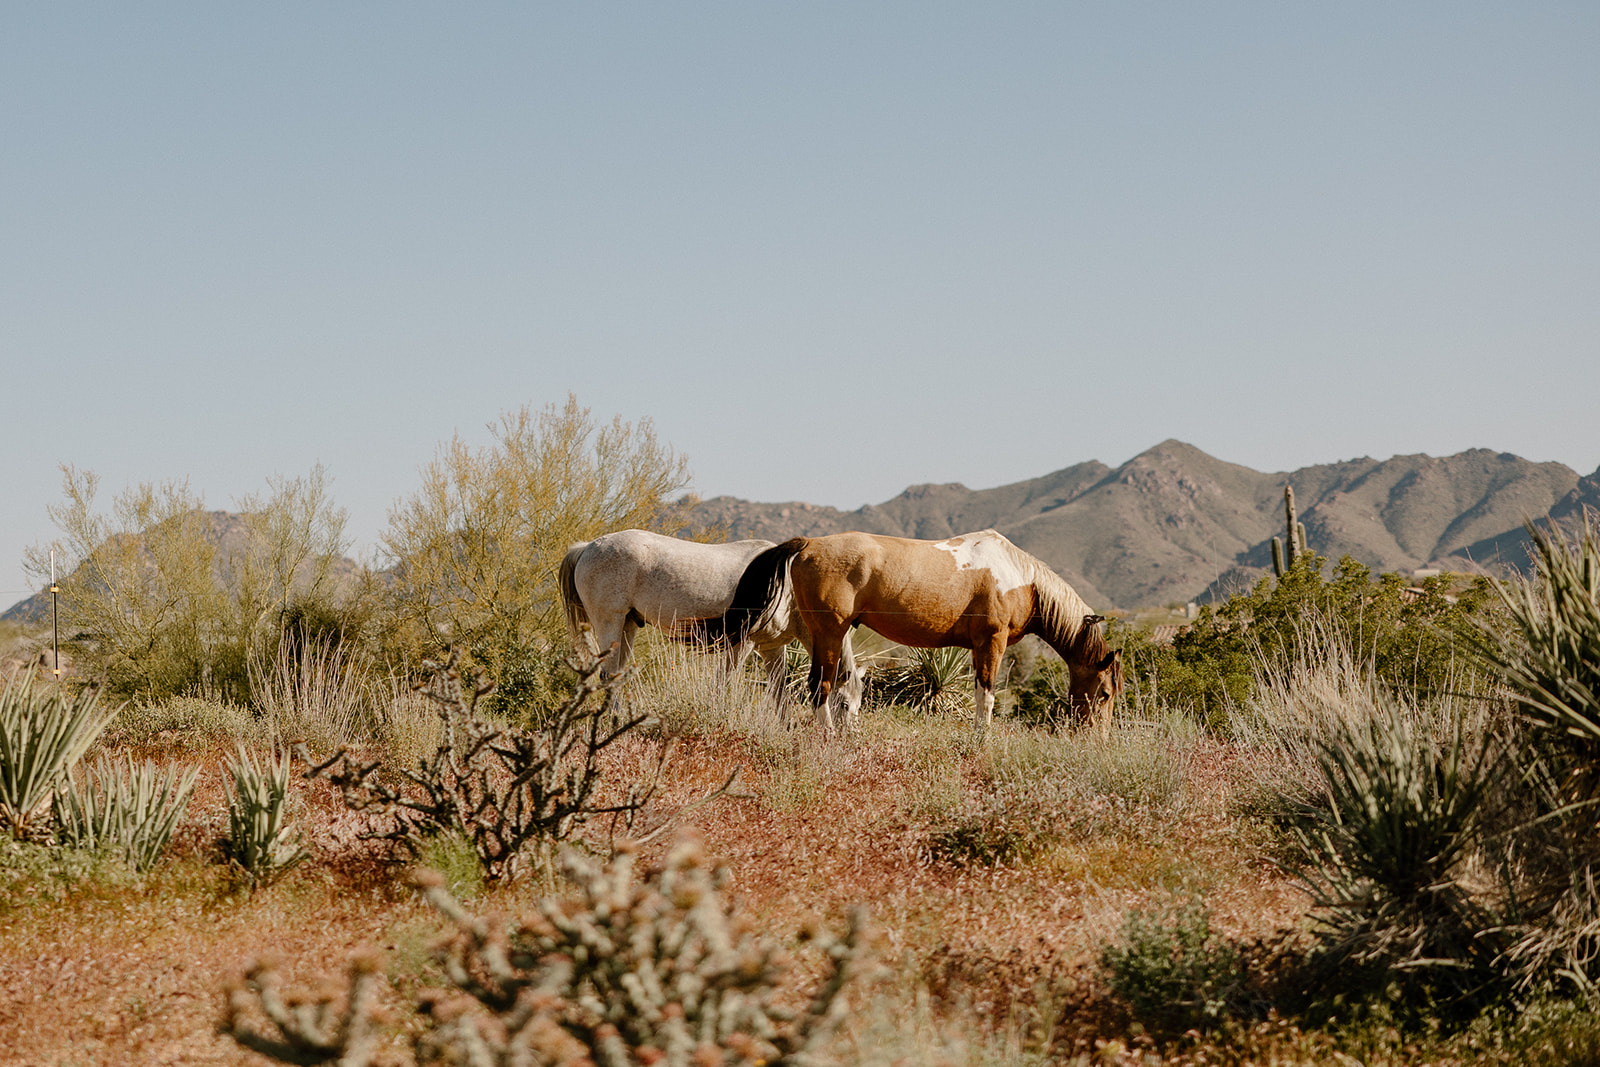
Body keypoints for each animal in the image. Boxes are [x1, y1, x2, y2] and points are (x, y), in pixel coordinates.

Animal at [560, 534, 864, 726]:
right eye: (844, 704)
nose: (845, 738)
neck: (786, 584)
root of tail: (587, 547)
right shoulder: (742, 643)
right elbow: (724, 682)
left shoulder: (772, 647)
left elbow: (779, 692)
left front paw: (785, 728)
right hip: (610, 622)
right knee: (608, 674)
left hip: (627, 626)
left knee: (617, 673)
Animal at [704, 531, 1126, 739]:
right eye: (1105, 693)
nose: (1098, 738)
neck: (1021, 578)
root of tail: (809, 545)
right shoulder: (992, 641)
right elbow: (987, 694)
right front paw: (983, 738)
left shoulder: (978, 646)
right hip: (828, 633)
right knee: (819, 686)